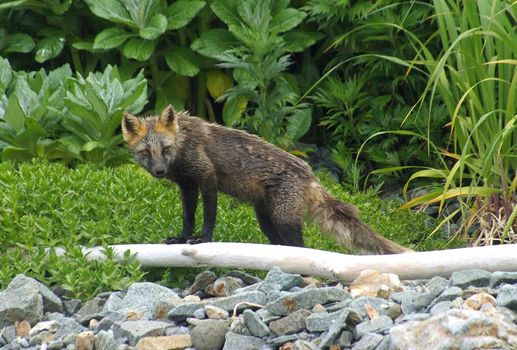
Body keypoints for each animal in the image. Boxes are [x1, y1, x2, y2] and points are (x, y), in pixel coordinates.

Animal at [121, 104, 412, 254]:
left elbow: (208, 216)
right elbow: (188, 217)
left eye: (165, 149)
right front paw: (182, 238)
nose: (160, 171)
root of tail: (310, 175)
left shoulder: (206, 176)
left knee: (302, 248)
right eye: (146, 152)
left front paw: (203, 239)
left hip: (284, 220)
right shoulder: (187, 185)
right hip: (267, 221)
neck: (182, 146)